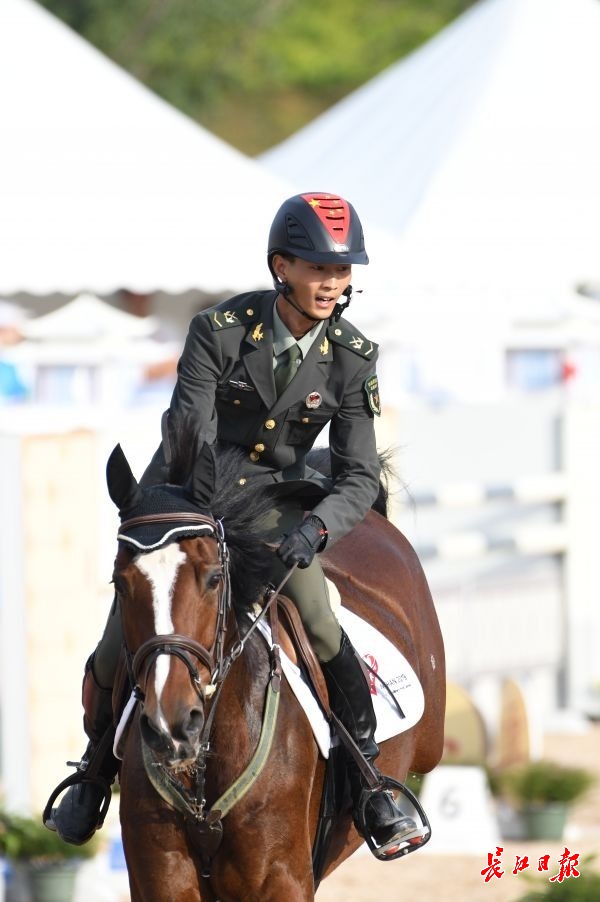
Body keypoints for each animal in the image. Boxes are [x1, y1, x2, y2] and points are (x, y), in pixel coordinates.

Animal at [106, 432, 446, 902]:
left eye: (214, 577)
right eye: (120, 583)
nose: (170, 727)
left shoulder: (282, 879)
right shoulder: (161, 881)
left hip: (429, 738)